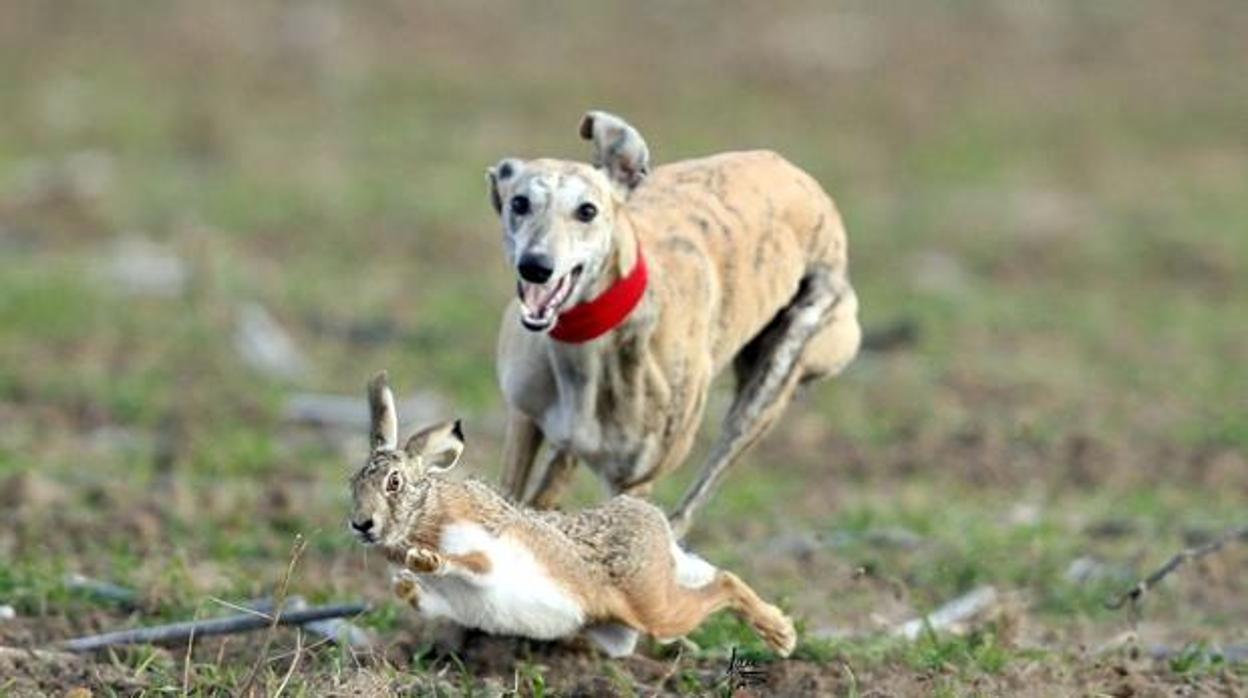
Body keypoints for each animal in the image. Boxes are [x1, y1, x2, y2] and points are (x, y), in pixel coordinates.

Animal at [486, 110, 858, 534]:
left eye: (587, 210)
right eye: (519, 203)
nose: (535, 266)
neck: (585, 343)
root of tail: (803, 180)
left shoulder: (633, 481)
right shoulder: (524, 419)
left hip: (772, 383)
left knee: (689, 506)